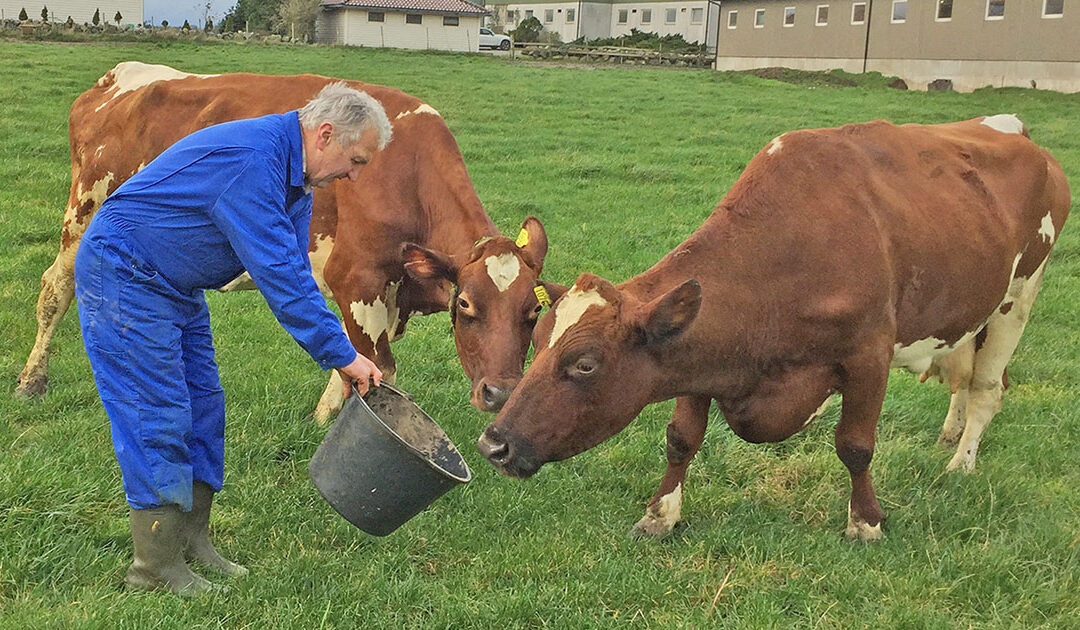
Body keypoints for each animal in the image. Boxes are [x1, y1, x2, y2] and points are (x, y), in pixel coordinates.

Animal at [16, 61, 557, 419]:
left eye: (533, 311)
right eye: (465, 304)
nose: (501, 395)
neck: (407, 170)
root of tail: (117, 76)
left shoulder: (388, 291)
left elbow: (348, 361)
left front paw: (320, 422)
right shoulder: (356, 277)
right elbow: (378, 367)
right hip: (84, 209)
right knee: (56, 288)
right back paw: (31, 380)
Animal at [479, 117, 1071, 542]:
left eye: (584, 363)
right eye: (536, 341)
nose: (494, 444)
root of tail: (1019, 135)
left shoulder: (869, 355)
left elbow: (856, 445)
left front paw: (867, 522)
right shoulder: (700, 358)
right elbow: (680, 438)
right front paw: (661, 514)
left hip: (1019, 296)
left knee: (987, 388)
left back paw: (960, 462)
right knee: (962, 377)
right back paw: (950, 432)